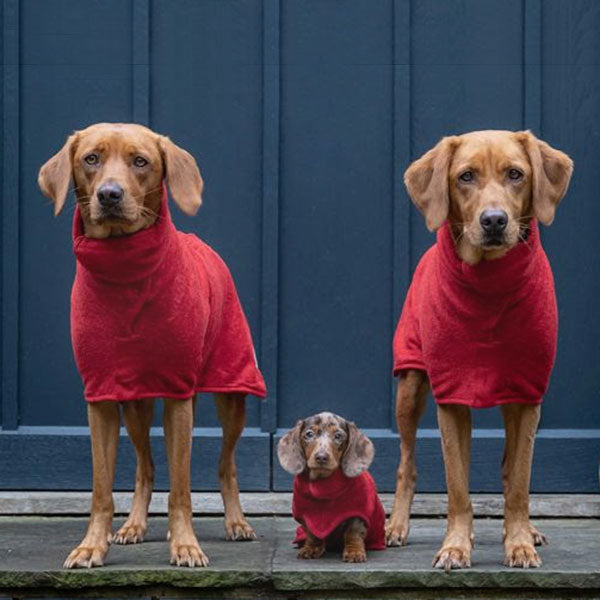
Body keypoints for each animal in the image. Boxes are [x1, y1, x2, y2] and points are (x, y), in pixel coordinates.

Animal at [38, 123, 266, 568]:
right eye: (91, 158)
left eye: (140, 161)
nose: (109, 195)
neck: (125, 267)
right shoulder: (101, 395)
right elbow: (101, 488)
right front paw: (93, 545)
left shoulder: (178, 393)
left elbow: (182, 488)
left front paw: (186, 545)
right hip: (136, 406)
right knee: (146, 466)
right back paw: (133, 526)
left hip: (232, 389)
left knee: (225, 463)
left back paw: (236, 522)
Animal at [386, 129, 576, 568]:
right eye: (466, 176)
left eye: (516, 174)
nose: (493, 220)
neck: (490, 282)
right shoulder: (452, 397)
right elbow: (457, 486)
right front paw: (456, 545)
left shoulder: (527, 393)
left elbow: (520, 480)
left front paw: (519, 541)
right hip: (409, 385)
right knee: (407, 463)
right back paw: (396, 526)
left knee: (510, 469)